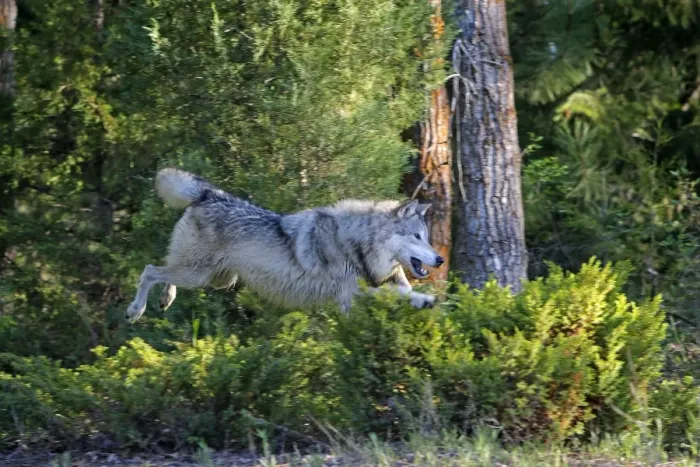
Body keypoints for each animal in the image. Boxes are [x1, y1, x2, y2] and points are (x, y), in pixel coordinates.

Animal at [125, 168, 444, 323]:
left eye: (427, 237)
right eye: (416, 237)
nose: (440, 259)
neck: (357, 245)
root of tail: (209, 194)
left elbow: (405, 291)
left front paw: (421, 299)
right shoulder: (350, 294)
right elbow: (396, 294)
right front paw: (425, 300)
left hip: (215, 279)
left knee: (165, 270)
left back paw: (166, 299)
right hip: (199, 275)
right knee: (150, 270)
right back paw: (135, 310)